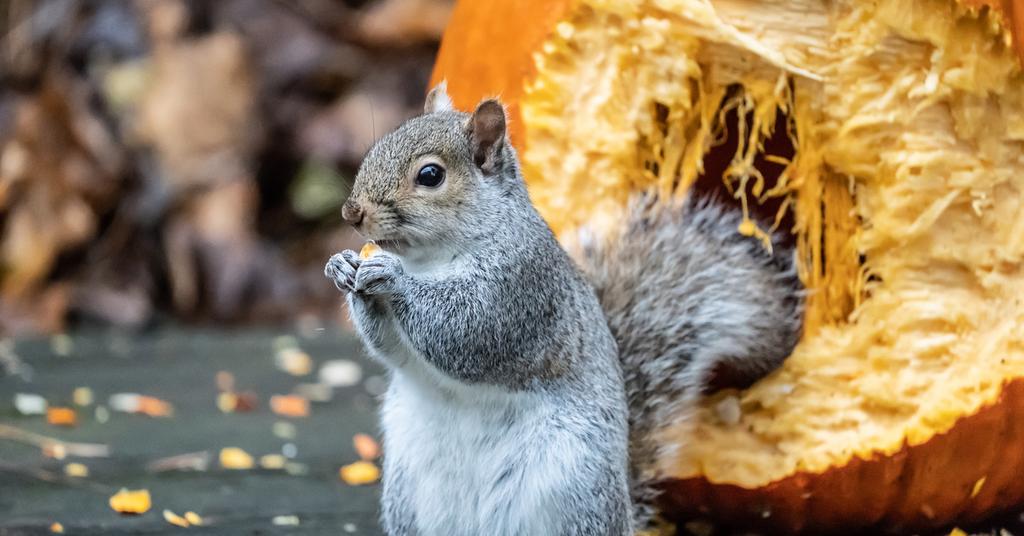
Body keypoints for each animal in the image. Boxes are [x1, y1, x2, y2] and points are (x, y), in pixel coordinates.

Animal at [323, 84, 802, 536]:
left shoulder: (520, 289)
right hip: (408, 492)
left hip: (568, 482)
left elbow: (465, 331)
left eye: (430, 175)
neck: (431, 260)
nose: (351, 212)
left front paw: (392, 278)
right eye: (379, 145)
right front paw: (345, 268)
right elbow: (393, 351)